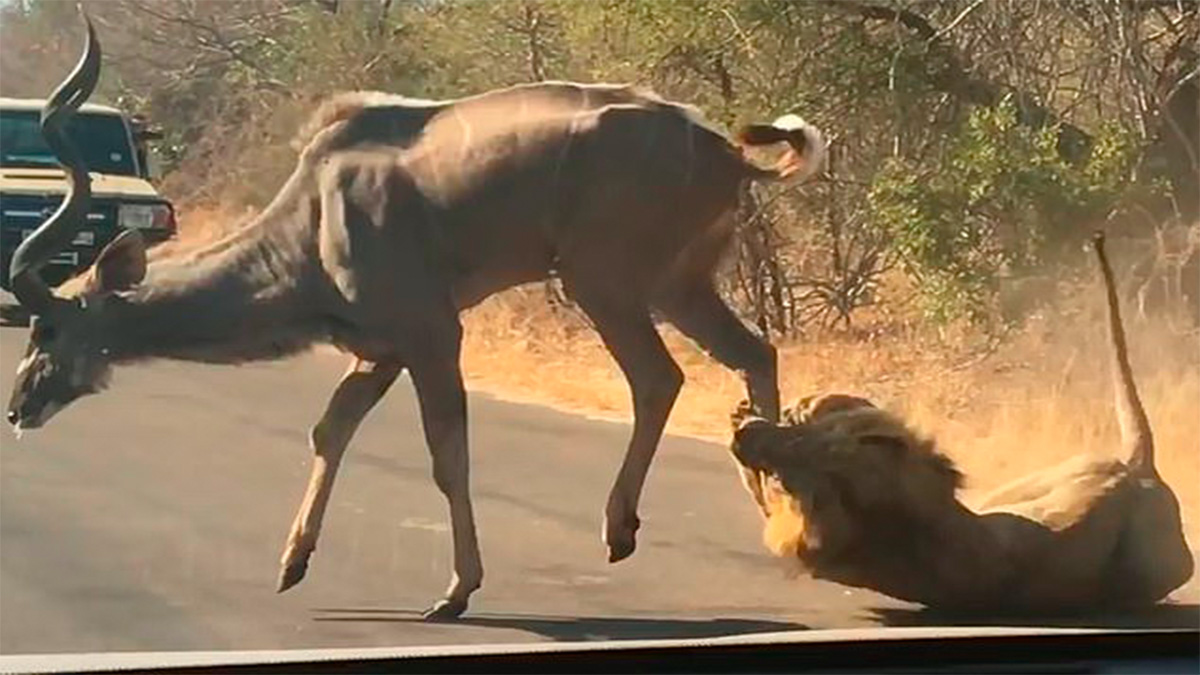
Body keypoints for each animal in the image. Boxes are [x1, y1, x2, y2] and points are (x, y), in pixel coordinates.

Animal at [6, 17, 825, 619]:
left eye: (48, 330)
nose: (18, 408)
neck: (313, 221)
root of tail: (725, 152)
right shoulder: (381, 346)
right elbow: (330, 427)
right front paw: (291, 564)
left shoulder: (432, 334)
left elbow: (445, 452)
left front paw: (456, 591)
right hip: (677, 283)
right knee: (755, 352)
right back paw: (779, 521)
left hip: (605, 280)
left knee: (660, 378)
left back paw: (621, 528)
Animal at [728, 232, 1194, 613]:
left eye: (787, 474)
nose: (744, 433)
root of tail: (1138, 470)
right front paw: (769, 417)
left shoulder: (897, 469)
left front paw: (790, 413)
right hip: (1041, 483)